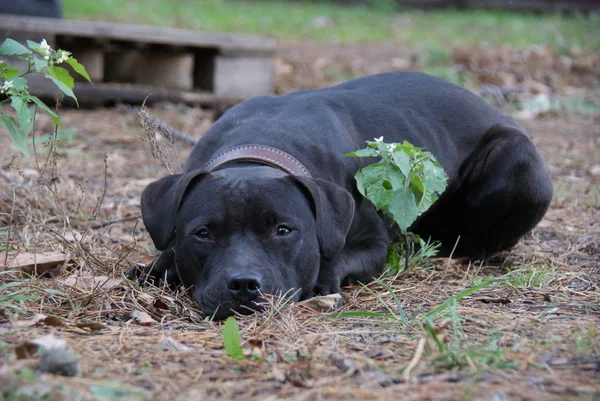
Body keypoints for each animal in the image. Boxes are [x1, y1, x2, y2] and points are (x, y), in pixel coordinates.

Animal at [136, 72, 552, 318]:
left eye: (283, 231)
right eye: (203, 234)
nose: (242, 284)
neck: (258, 149)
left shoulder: (373, 242)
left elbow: (338, 258)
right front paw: (158, 265)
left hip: (519, 161)